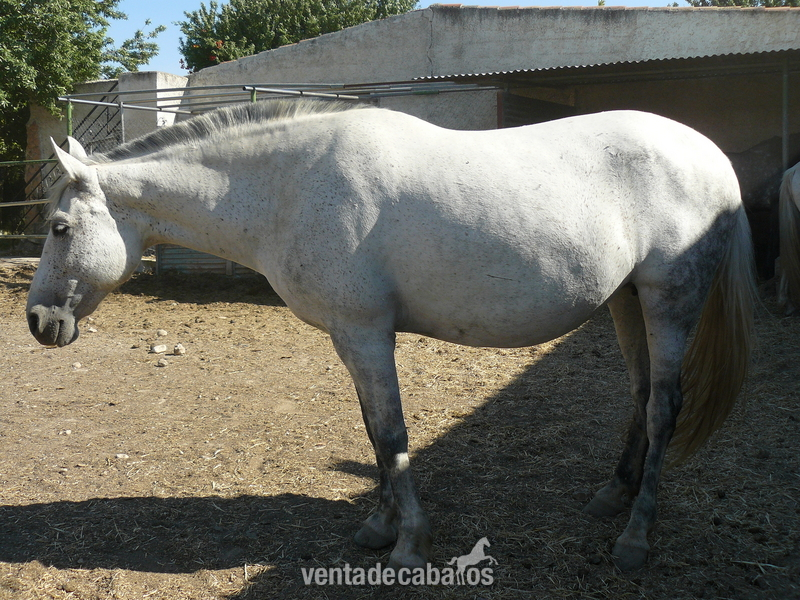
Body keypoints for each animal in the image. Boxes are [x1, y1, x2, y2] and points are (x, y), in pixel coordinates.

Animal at [27, 100, 756, 572]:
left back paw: (636, 536)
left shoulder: (366, 334)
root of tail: (716, 158)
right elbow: (373, 435)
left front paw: (409, 542)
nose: (38, 323)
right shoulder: (352, 338)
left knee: (665, 407)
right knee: (641, 395)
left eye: (60, 228)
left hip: (669, 299)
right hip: (627, 301)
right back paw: (613, 495)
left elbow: (392, 432)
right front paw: (378, 526)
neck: (292, 188)